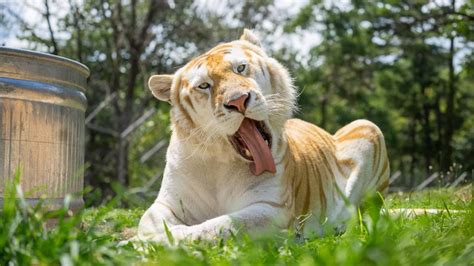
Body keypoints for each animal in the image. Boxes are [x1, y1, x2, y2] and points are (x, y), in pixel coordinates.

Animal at [137, 28, 388, 241]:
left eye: (240, 68)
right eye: (204, 86)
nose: (238, 100)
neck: (222, 163)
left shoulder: (271, 207)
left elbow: (219, 226)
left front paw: (165, 240)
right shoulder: (167, 203)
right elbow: (148, 222)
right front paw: (151, 238)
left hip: (367, 128)